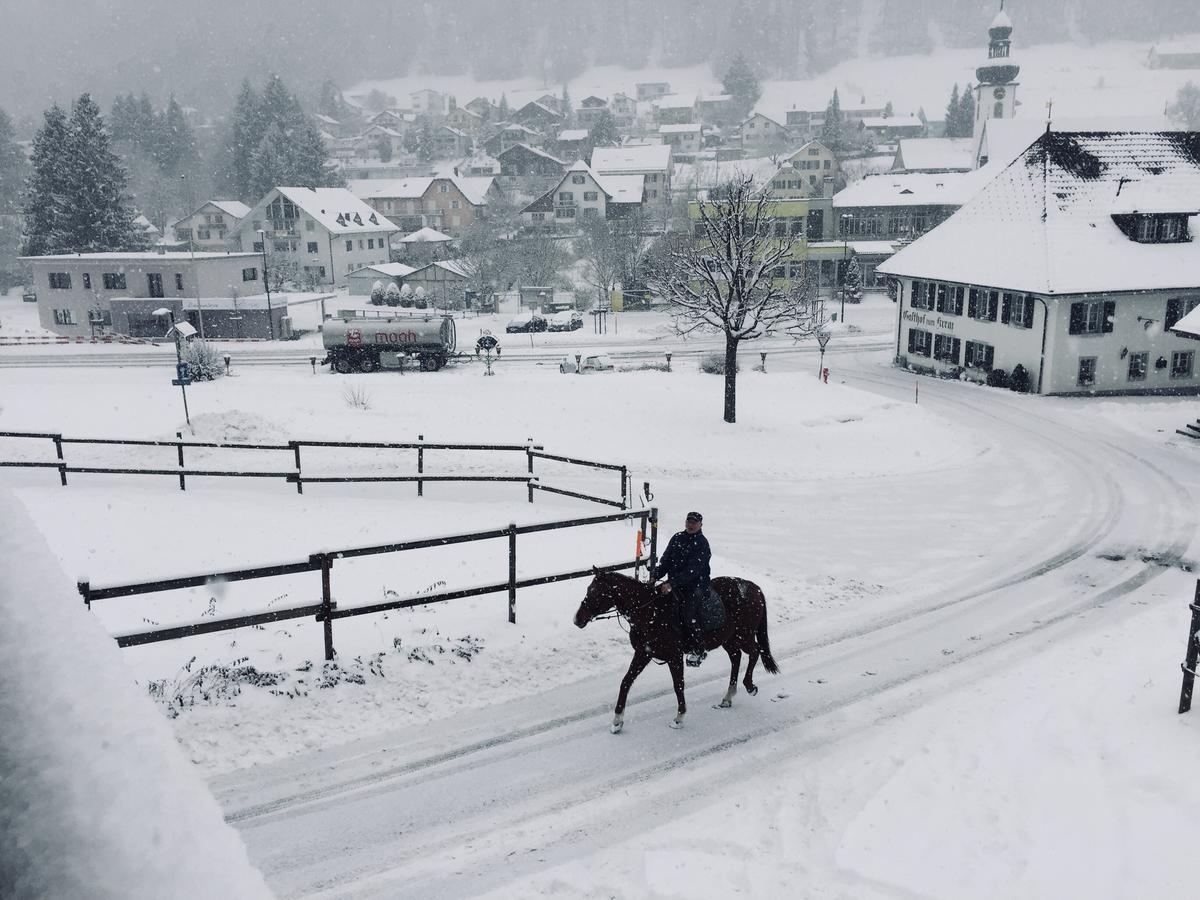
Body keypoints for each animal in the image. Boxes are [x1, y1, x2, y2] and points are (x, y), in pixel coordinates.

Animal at [576, 571, 782, 734]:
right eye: (588, 589)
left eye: (597, 592)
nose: (577, 619)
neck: (651, 612)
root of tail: (753, 587)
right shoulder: (643, 653)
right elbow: (626, 682)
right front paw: (617, 721)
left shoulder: (674, 657)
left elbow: (678, 686)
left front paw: (679, 718)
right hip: (728, 639)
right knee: (736, 657)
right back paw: (728, 697)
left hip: (743, 635)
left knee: (755, 652)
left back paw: (750, 686)